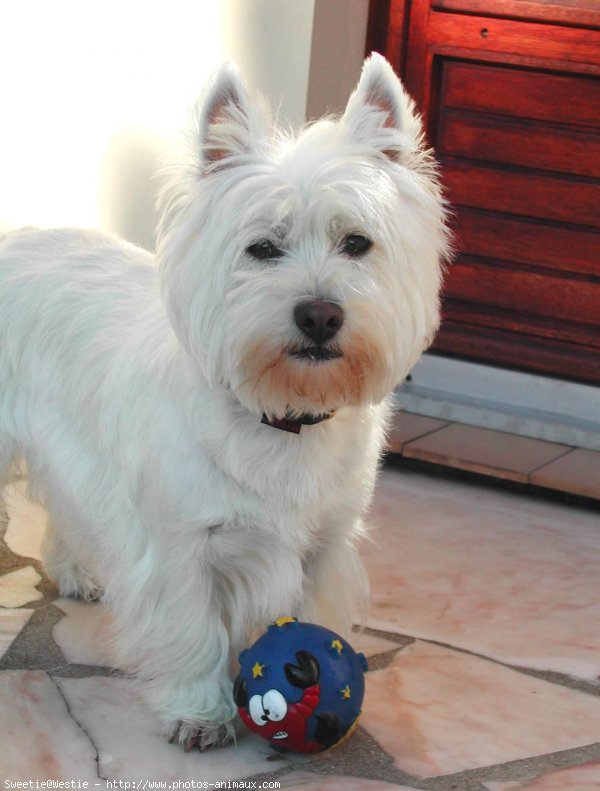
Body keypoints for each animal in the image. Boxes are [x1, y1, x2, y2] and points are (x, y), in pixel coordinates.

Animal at [0, 54, 448, 748]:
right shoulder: (183, 545)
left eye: (357, 243)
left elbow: (310, 615)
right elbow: (193, 629)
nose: (320, 315)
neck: (282, 414)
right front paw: (199, 714)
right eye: (262, 248)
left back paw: (77, 573)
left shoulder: (323, 544)